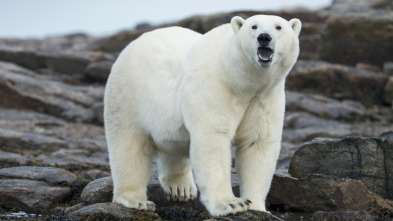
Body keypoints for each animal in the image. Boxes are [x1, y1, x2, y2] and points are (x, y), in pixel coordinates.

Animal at [104, 14, 300, 216]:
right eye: (253, 26)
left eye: (278, 27)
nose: (264, 37)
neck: (240, 80)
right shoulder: (215, 87)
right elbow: (212, 139)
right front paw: (231, 204)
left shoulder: (265, 98)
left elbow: (257, 143)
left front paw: (257, 207)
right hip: (128, 97)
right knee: (129, 146)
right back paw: (136, 200)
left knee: (173, 145)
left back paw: (180, 188)